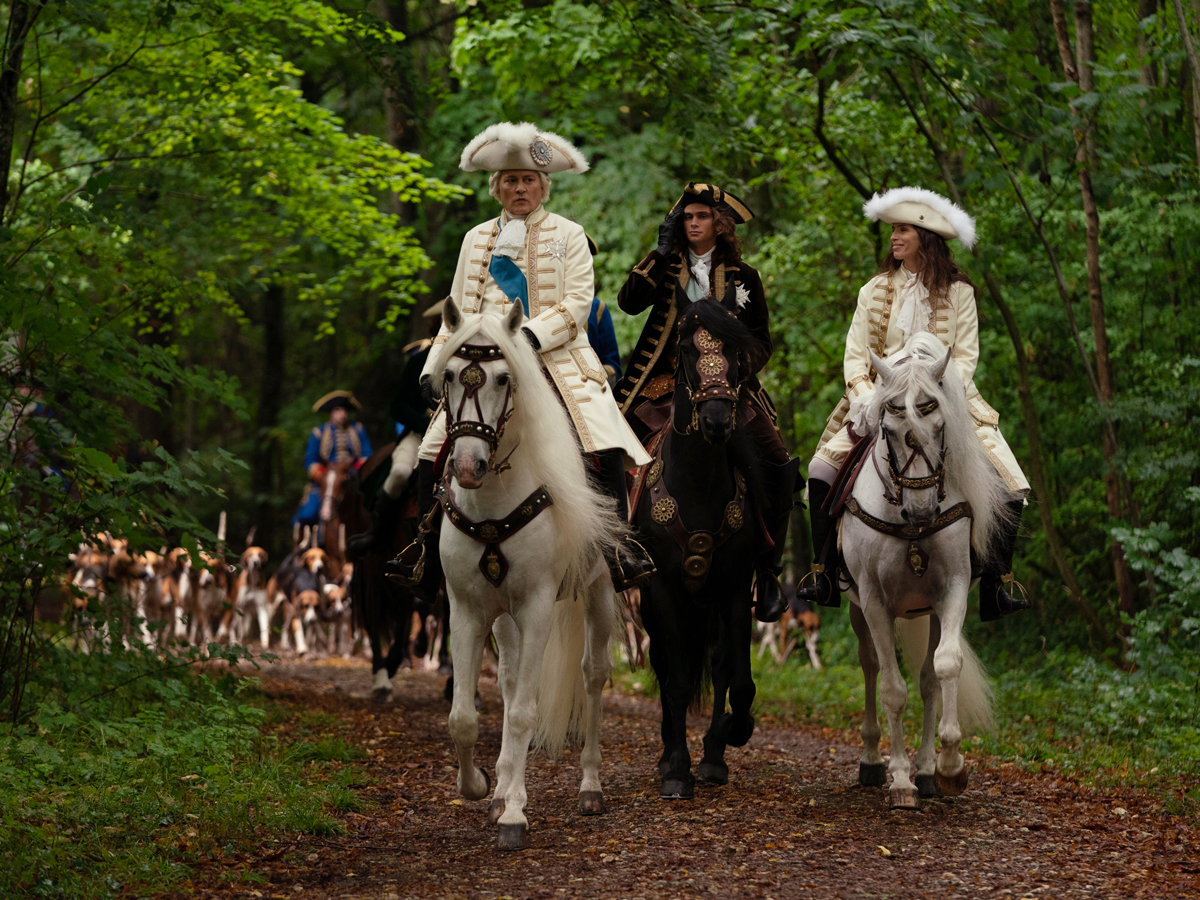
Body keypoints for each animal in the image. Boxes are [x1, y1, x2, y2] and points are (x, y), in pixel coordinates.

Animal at [427, 296, 624, 854]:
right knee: (514, 680)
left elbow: (522, 713)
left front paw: (514, 814)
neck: (494, 502)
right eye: (448, 375)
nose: (467, 467)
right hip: (505, 619)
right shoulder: (469, 611)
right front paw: (480, 787)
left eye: (502, 378)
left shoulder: (537, 607)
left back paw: (590, 786)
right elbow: (465, 716)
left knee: (592, 675)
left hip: (598, 594)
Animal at [638, 300, 768, 801]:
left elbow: (737, 676)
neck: (696, 484)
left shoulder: (733, 588)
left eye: (733, 351)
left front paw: (727, 738)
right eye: (689, 352)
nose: (716, 421)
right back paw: (666, 753)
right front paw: (677, 768)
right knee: (662, 663)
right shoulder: (662, 588)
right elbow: (675, 679)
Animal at [840, 333, 1008, 811]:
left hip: (928, 611)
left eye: (939, 425)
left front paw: (949, 767)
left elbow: (945, 667)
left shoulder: (952, 592)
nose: (921, 509)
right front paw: (899, 780)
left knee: (929, 679)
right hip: (857, 609)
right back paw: (872, 762)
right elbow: (892, 690)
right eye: (889, 430)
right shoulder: (874, 602)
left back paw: (930, 771)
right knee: (871, 667)